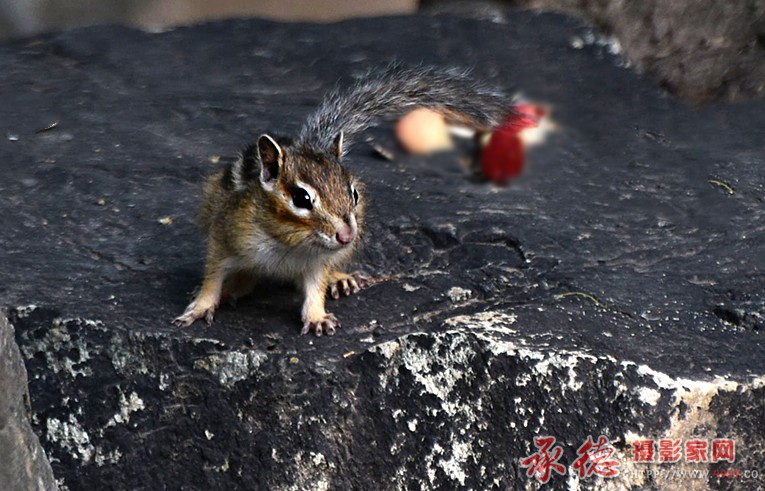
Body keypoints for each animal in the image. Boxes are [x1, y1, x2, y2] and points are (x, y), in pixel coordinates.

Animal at [173, 65, 508, 335]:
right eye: (301, 198)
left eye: (354, 194)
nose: (347, 236)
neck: (289, 243)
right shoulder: (225, 234)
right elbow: (213, 275)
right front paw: (200, 306)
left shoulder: (317, 262)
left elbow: (314, 288)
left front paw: (317, 315)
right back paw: (234, 288)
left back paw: (340, 278)